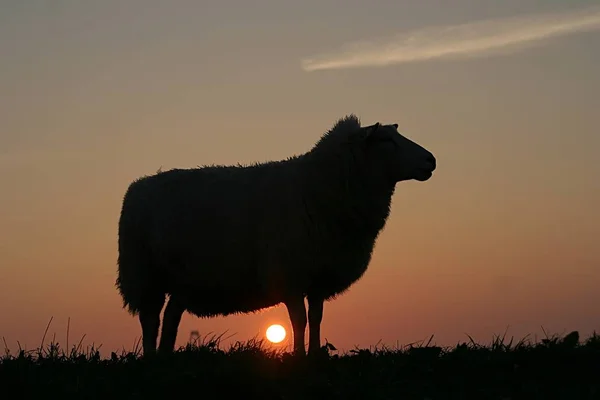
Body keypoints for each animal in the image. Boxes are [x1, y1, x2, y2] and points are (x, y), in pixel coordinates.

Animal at [116, 115, 436, 356]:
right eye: (386, 140)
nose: (431, 160)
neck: (317, 186)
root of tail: (138, 186)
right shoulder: (289, 273)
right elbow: (299, 320)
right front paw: (297, 356)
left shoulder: (318, 276)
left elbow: (316, 318)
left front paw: (314, 355)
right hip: (144, 274)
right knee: (150, 319)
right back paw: (150, 358)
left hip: (182, 280)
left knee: (171, 316)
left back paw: (165, 356)